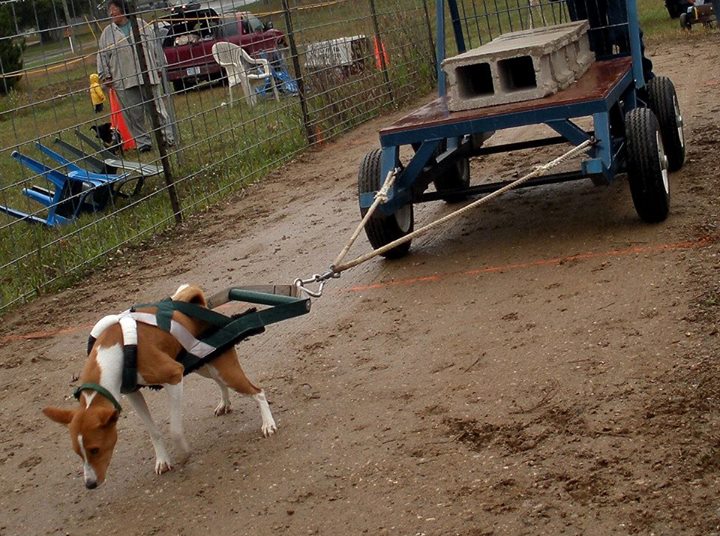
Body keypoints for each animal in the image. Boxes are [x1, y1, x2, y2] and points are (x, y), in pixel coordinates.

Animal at [41, 284, 276, 490]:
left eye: (95, 450)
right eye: (78, 453)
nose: (89, 484)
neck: (115, 351)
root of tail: (199, 306)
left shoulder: (174, 376)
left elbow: (175, 430)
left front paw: (183, 452)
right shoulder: (132, 393)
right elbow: (153, 431)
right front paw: (162, 460)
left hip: (222, 369)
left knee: (257, 391)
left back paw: (268, 423)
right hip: (204, 363)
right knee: (220, 383)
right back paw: (225, 403)